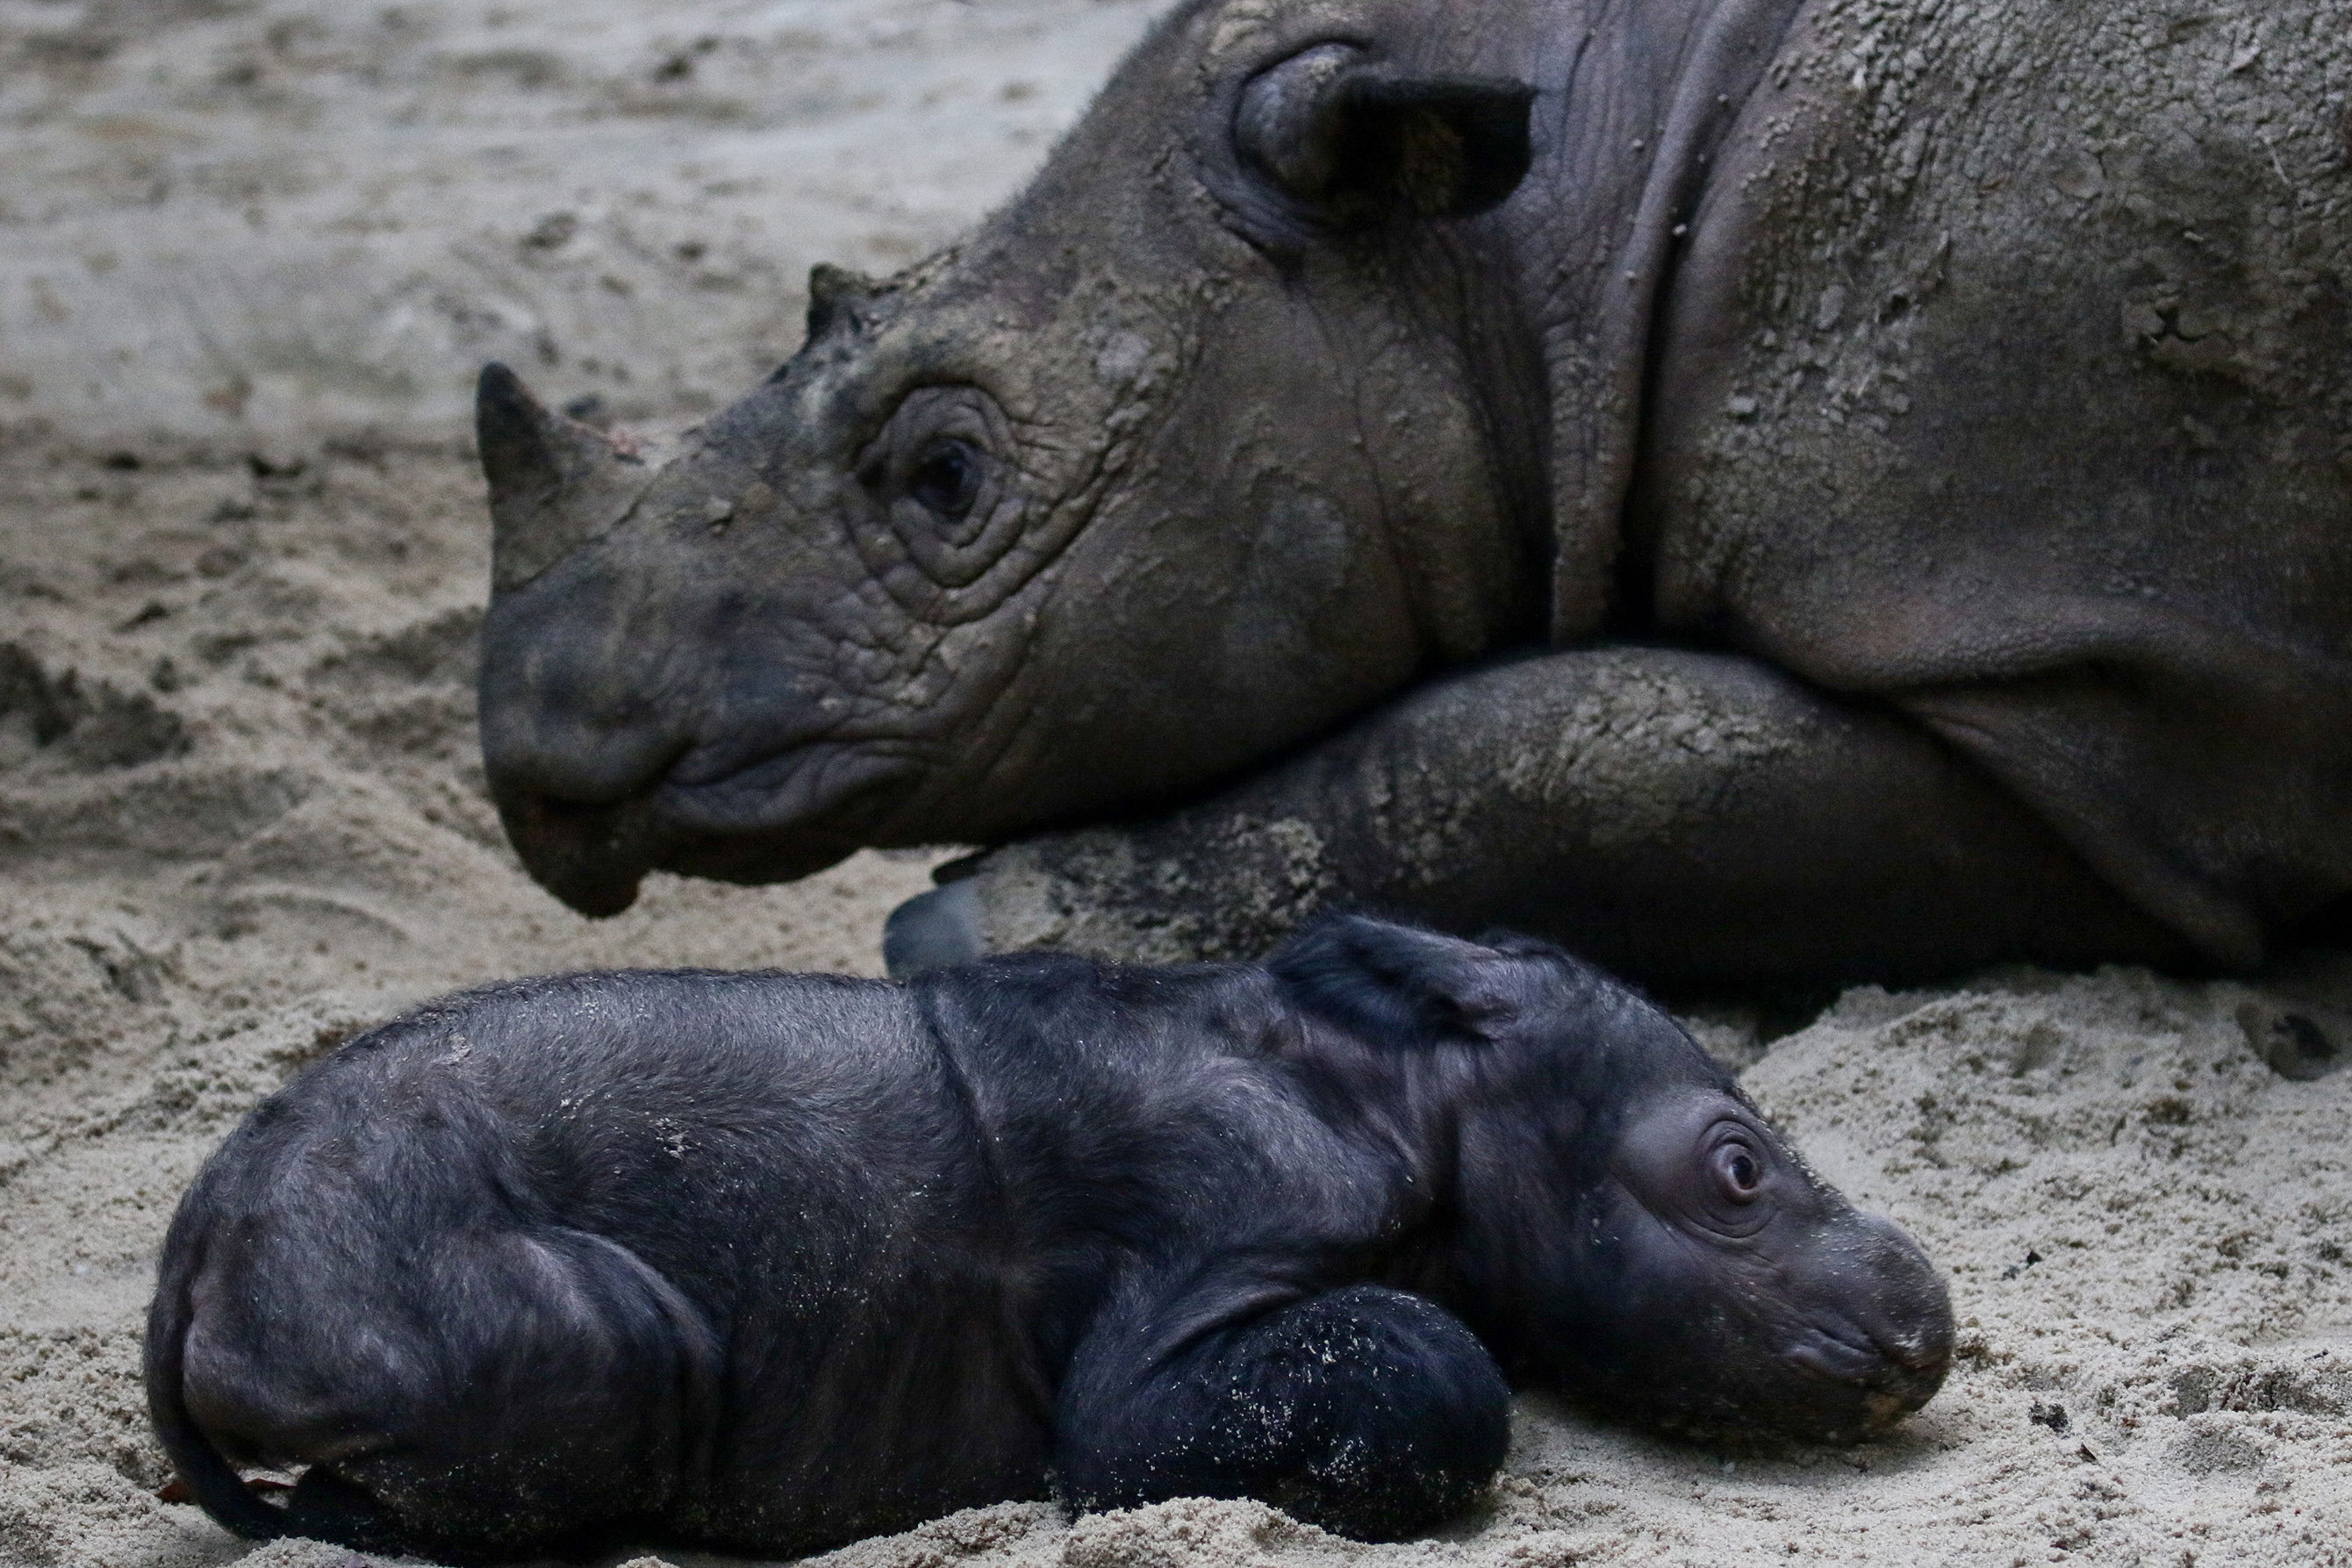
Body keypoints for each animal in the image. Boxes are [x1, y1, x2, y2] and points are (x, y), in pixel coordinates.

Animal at [142, 912, 1947, 1560]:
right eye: (1736, 1173)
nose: (1925, 1323)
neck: (1416, 1086)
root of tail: (203, 1232)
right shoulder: (1171, 1317)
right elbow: (1424, 1369)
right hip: (431, 1270)